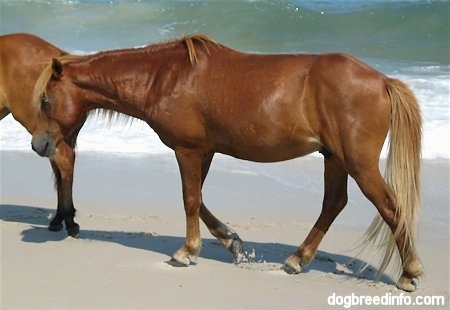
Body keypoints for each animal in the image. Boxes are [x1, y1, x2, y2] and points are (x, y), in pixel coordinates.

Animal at [30, 35, 422, 292]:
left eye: (47, 99)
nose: (39, 145)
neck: (165, 77)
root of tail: (382, 80)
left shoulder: (187, 150)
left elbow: (190, 199)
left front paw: (187, 252)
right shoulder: (204, 151)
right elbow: (200, 200)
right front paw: (231, 241)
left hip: (358, 163)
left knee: (389, 206)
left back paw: (409, 272)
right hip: (335, 158)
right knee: (334, 203)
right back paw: (297, 259)